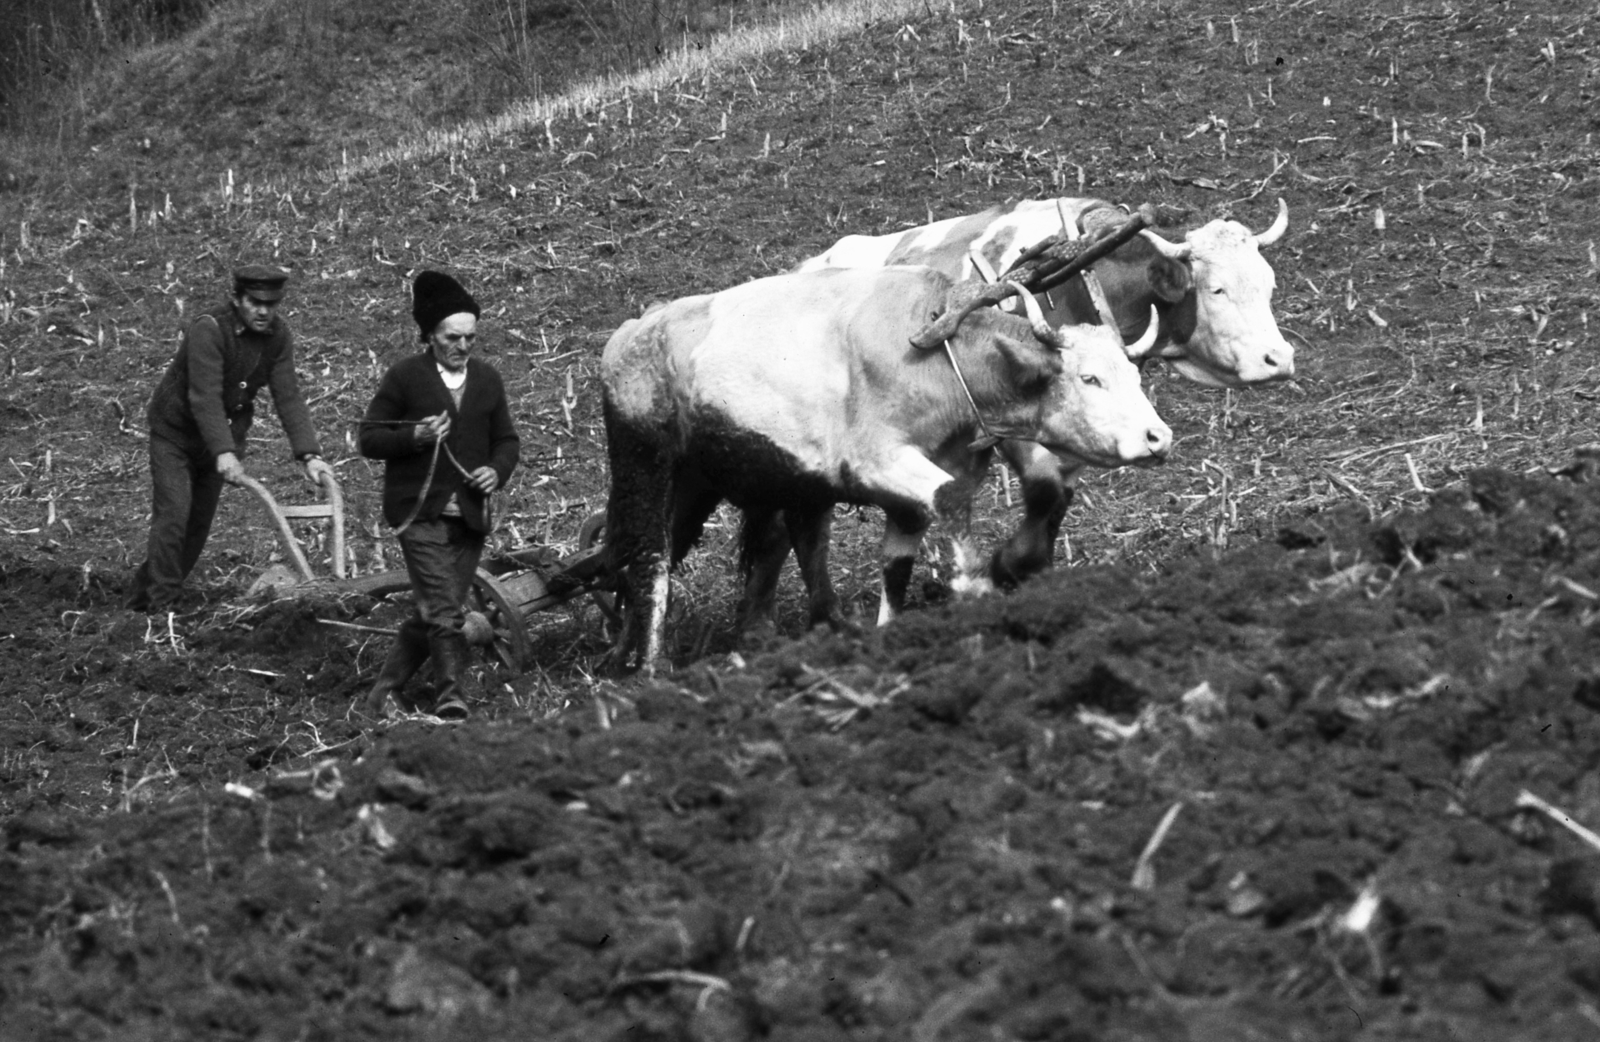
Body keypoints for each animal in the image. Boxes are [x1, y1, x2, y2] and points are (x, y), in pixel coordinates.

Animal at [600, 264, 1170, 674]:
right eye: (1089, 378)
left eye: (1134, 375)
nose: (1158, 437)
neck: (936, 355)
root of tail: (631, 331)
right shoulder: (878, 462)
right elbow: (950, 503)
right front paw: (977, 593)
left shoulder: (922, 484)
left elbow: (897, 566)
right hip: (645, 465)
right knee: (650, 561)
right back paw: (647, 667)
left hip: (714, 485)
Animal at [797, 195, 1295, 592]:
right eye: (1216, 288)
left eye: (1270, 284)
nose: (1279, 359)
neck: (1079, 278)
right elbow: (1043, 488)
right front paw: (1011, 565)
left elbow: (1059, 494)